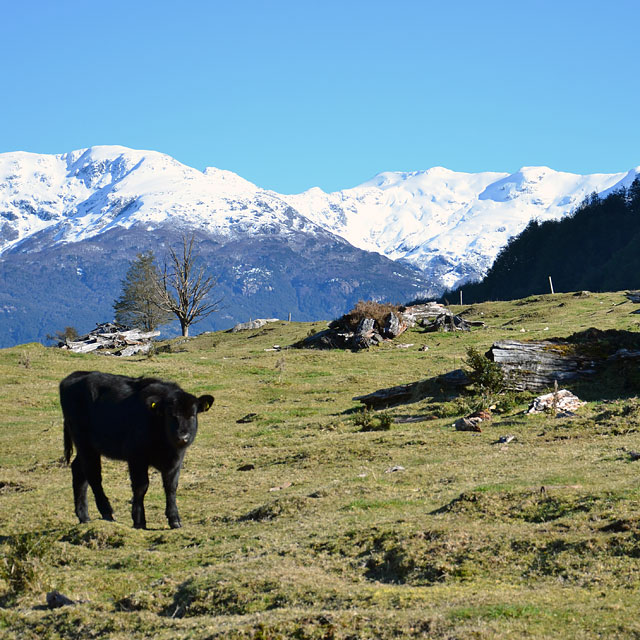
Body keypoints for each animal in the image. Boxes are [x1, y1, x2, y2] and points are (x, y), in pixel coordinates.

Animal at [58, 370, 212, 528]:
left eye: (192, 415)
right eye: (171, 415)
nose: (183, 437)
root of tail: (76, 375)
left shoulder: (176, 460)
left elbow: (171, 487)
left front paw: (174, 519)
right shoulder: (136, 458)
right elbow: (141, 487)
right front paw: (139, 521)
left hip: (87, 447)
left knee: (78, 471)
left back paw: (84, 516)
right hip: (85, 444)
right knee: (93, 476)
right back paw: (107, 513)